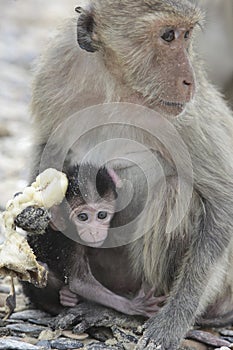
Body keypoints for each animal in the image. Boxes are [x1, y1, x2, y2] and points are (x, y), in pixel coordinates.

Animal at [15, 164, 166, 318]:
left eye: (102, 215)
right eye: (82, 217)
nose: (94, 232)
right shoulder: (68, 242)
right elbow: (79, 282)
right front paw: (132, 306)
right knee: (39, 267)